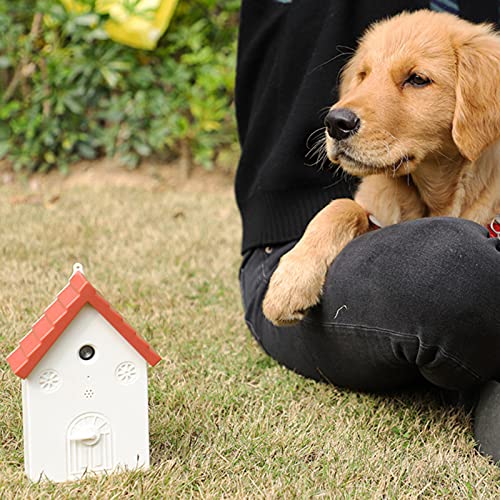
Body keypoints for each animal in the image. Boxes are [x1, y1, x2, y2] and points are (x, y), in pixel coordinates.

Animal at [264, 10, 498, 328]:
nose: (335, 123)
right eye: (363, 76)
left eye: (417, 79)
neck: (429, 196)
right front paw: (289, 284)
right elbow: (340, 206)